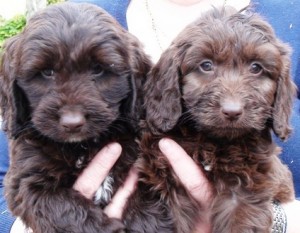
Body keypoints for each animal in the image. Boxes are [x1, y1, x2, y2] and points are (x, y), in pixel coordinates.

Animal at [0, 2, 150, 233]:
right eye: (47, 72)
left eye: (97, 69)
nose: (72, 123)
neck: (82, 147)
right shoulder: (25, 182)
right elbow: (64, 209)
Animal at [138, 7, 296, 233]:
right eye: (206, 65)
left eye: (256, 67)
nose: (232, 111)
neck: (210, 143)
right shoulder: (163, 178)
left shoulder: (245, 190)